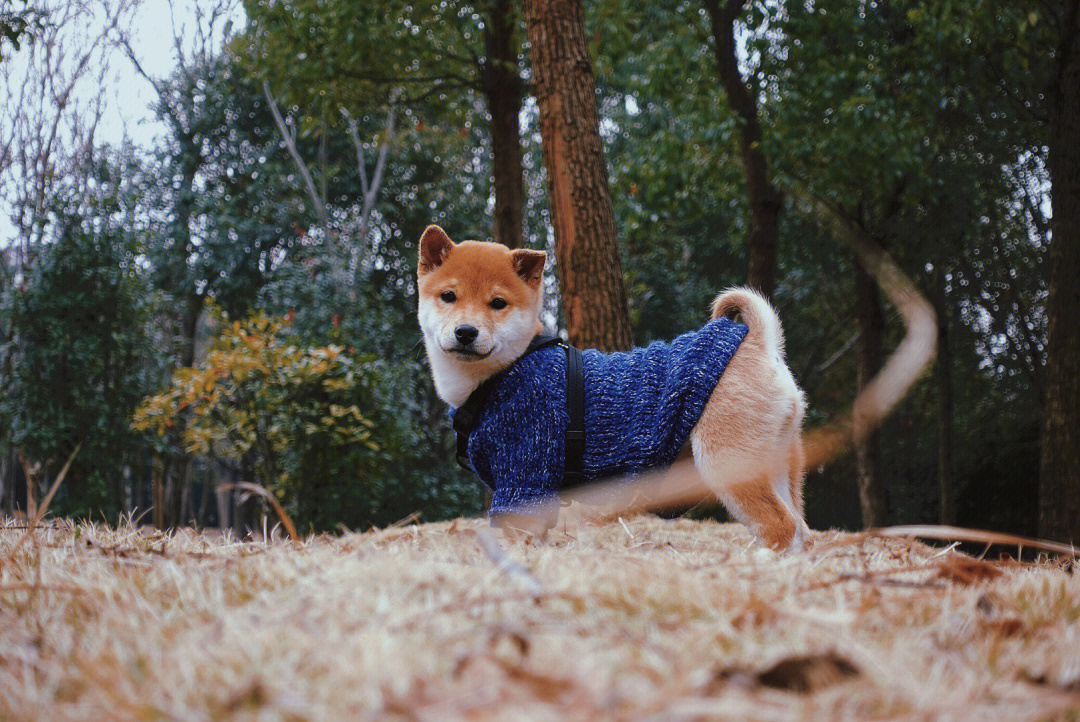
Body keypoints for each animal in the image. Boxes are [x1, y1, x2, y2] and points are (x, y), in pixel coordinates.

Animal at [414, 225, 812, 552]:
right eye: (448, 296)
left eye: (498, 303)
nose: (466, 332)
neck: (507, 371)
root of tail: (759, 342)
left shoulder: (524, 478)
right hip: (780, 466)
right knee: (800, 530)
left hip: (729, 463)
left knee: (779, 525)